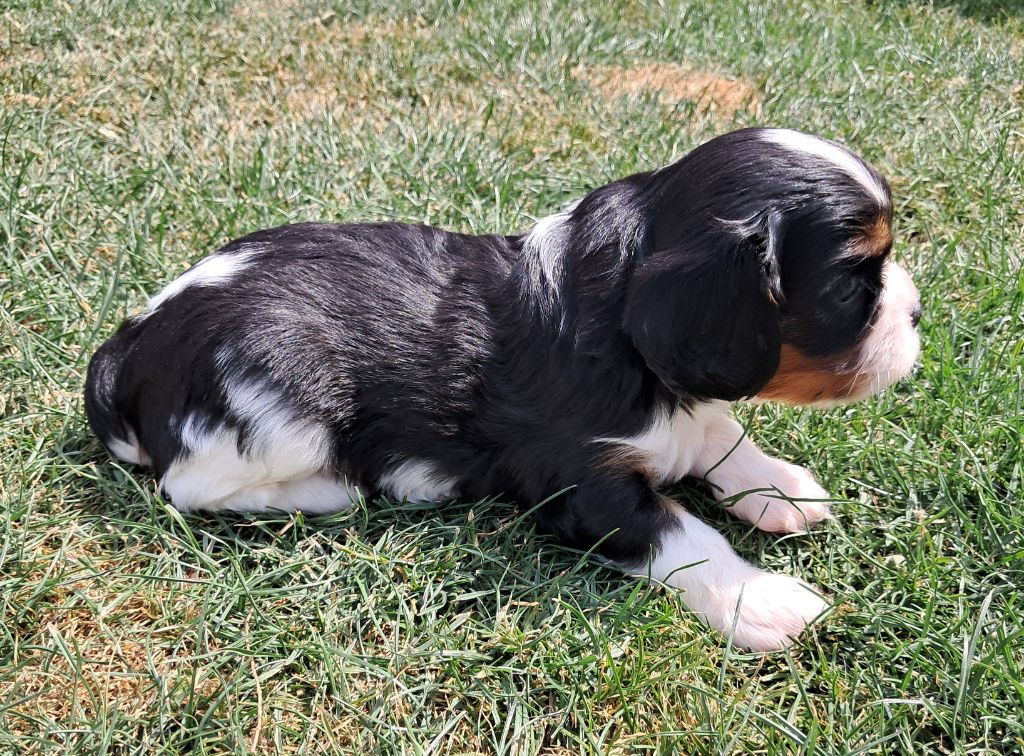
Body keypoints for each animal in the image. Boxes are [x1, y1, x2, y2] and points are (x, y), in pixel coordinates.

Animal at [85, 128, 921, 651]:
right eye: (852, 283)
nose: (916, 313)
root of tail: (130, 345)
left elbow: (721, 433)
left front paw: (779, 487)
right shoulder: (579, 483)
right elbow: (684, 533)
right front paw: (764, 600)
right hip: (282, 404)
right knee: (187, 486)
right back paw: (329, 491)